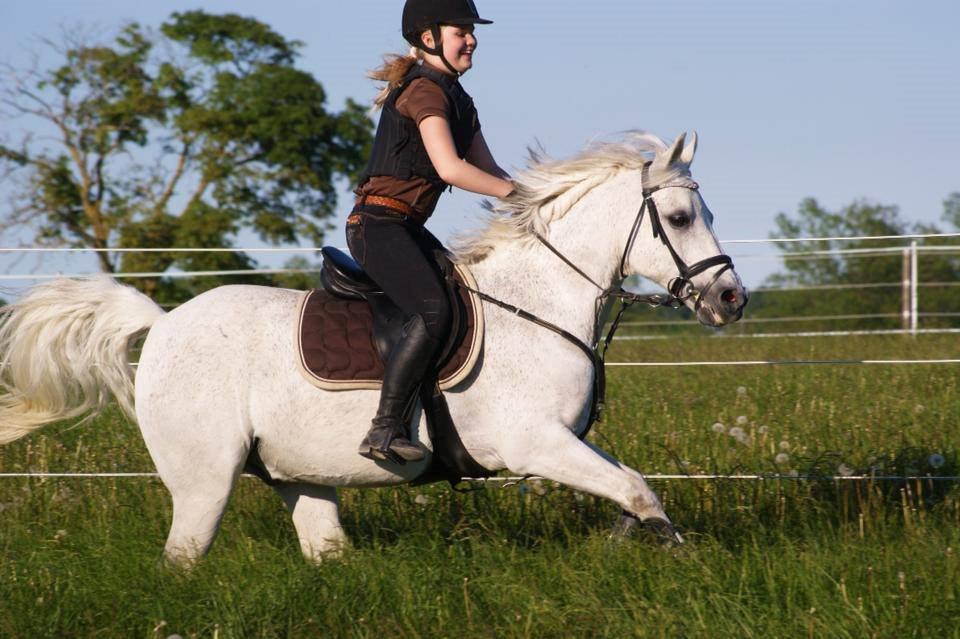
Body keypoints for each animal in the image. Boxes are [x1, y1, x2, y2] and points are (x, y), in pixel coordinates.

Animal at [0, 130, 744, 564]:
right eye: (681, 217)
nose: (731, 298)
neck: (539, 301)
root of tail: (161, 322)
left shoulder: (561, 441)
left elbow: (631, 489)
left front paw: (638, 543)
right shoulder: (535, 443)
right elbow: (637, 489)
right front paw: (683, 558)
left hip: (297, 474)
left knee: (324, 550)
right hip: (204, 479)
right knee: (182, 558)